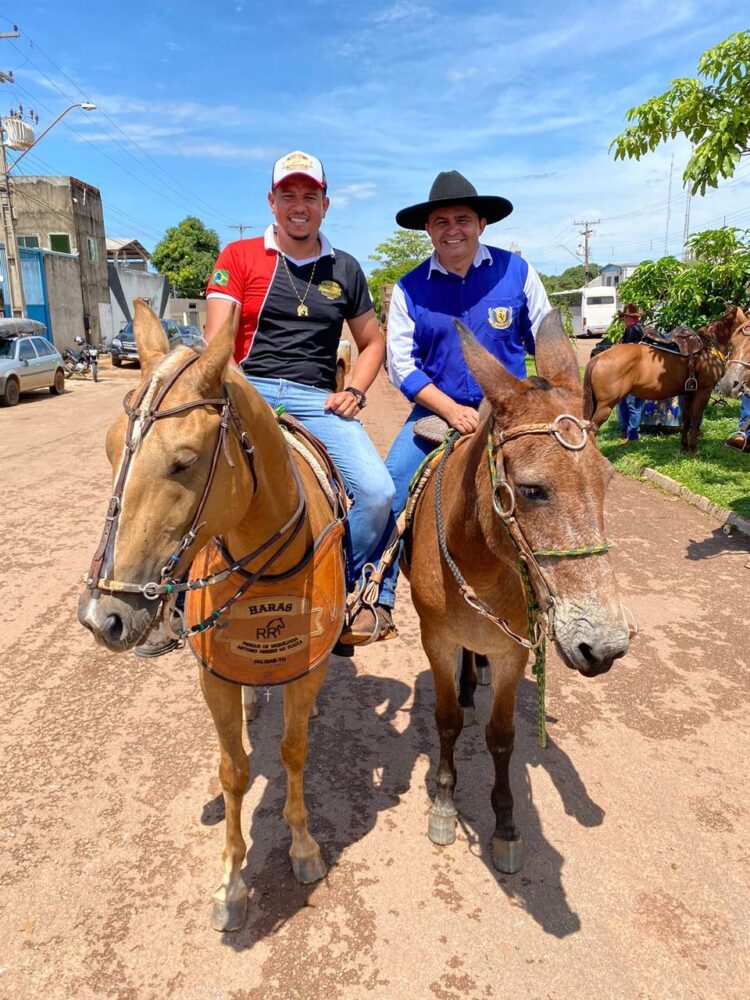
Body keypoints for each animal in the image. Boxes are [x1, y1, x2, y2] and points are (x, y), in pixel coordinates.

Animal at [78, 296, 348, 928]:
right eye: (110, 447)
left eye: (185, 461)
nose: (104, 618)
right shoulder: (215, 677)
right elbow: (234, 770)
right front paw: (232, 883)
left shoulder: (307, 668)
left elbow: (293, 750)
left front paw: (303, 847)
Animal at [402, 312, 632, 876]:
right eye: (531, 490)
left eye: (607, 481)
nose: (606, 647)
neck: (481, 561)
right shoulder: (436, 640)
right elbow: (446, 722)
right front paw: (444, 803)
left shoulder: (513, 652)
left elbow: (501, 738)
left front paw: (506, 826)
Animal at [584, 300, 748, 450]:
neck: (710, 344)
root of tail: (597, 358)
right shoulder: (703, 391)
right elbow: (695, 420)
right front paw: (693, 448)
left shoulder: (689, 393)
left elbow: (686, 420)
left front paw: (684, 447)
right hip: (606, 405)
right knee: (591, 429)